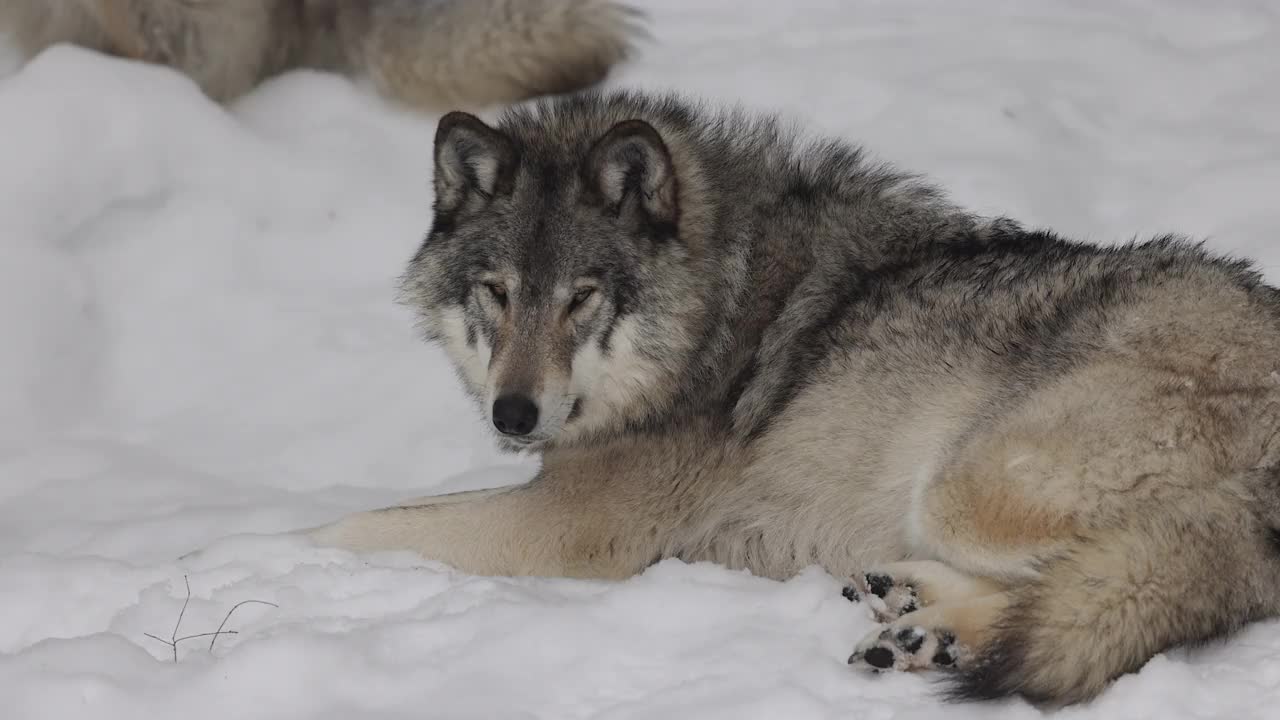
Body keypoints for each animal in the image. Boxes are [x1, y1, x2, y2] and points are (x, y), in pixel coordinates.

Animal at [307, 88, 1280, 702]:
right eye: (497, 294)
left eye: (582, 298)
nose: (513, 415)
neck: (713, 310)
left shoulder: (570, 530)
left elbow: (343, 528)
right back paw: (911, 616)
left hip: (972, 486)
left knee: (1083, 576)